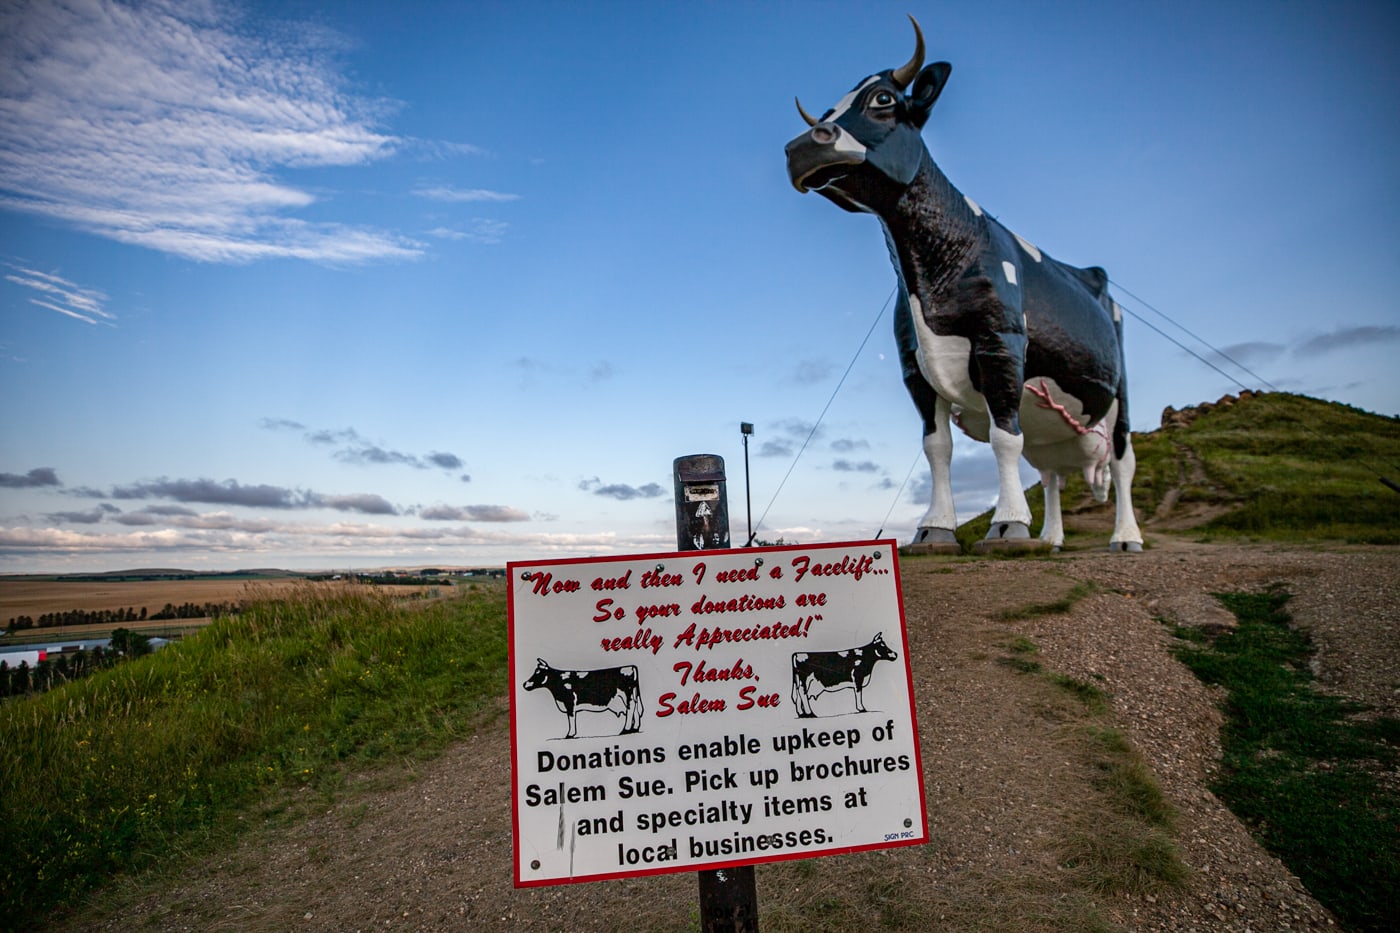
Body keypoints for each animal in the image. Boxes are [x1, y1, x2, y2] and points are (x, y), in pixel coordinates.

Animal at [784, 16, 1142, 551]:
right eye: (827, 112)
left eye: (884, 98)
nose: (802, 146)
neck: (927, 275)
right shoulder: (913, 364)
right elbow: (938, 448)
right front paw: (935, 529)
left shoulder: (1001, 343)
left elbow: (1003, 437)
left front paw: (1008, 525)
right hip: (1054, 428)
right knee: (1052, 474)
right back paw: (1052, 539)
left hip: (1120, 391)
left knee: (1122, 462)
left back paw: (1125, 537)